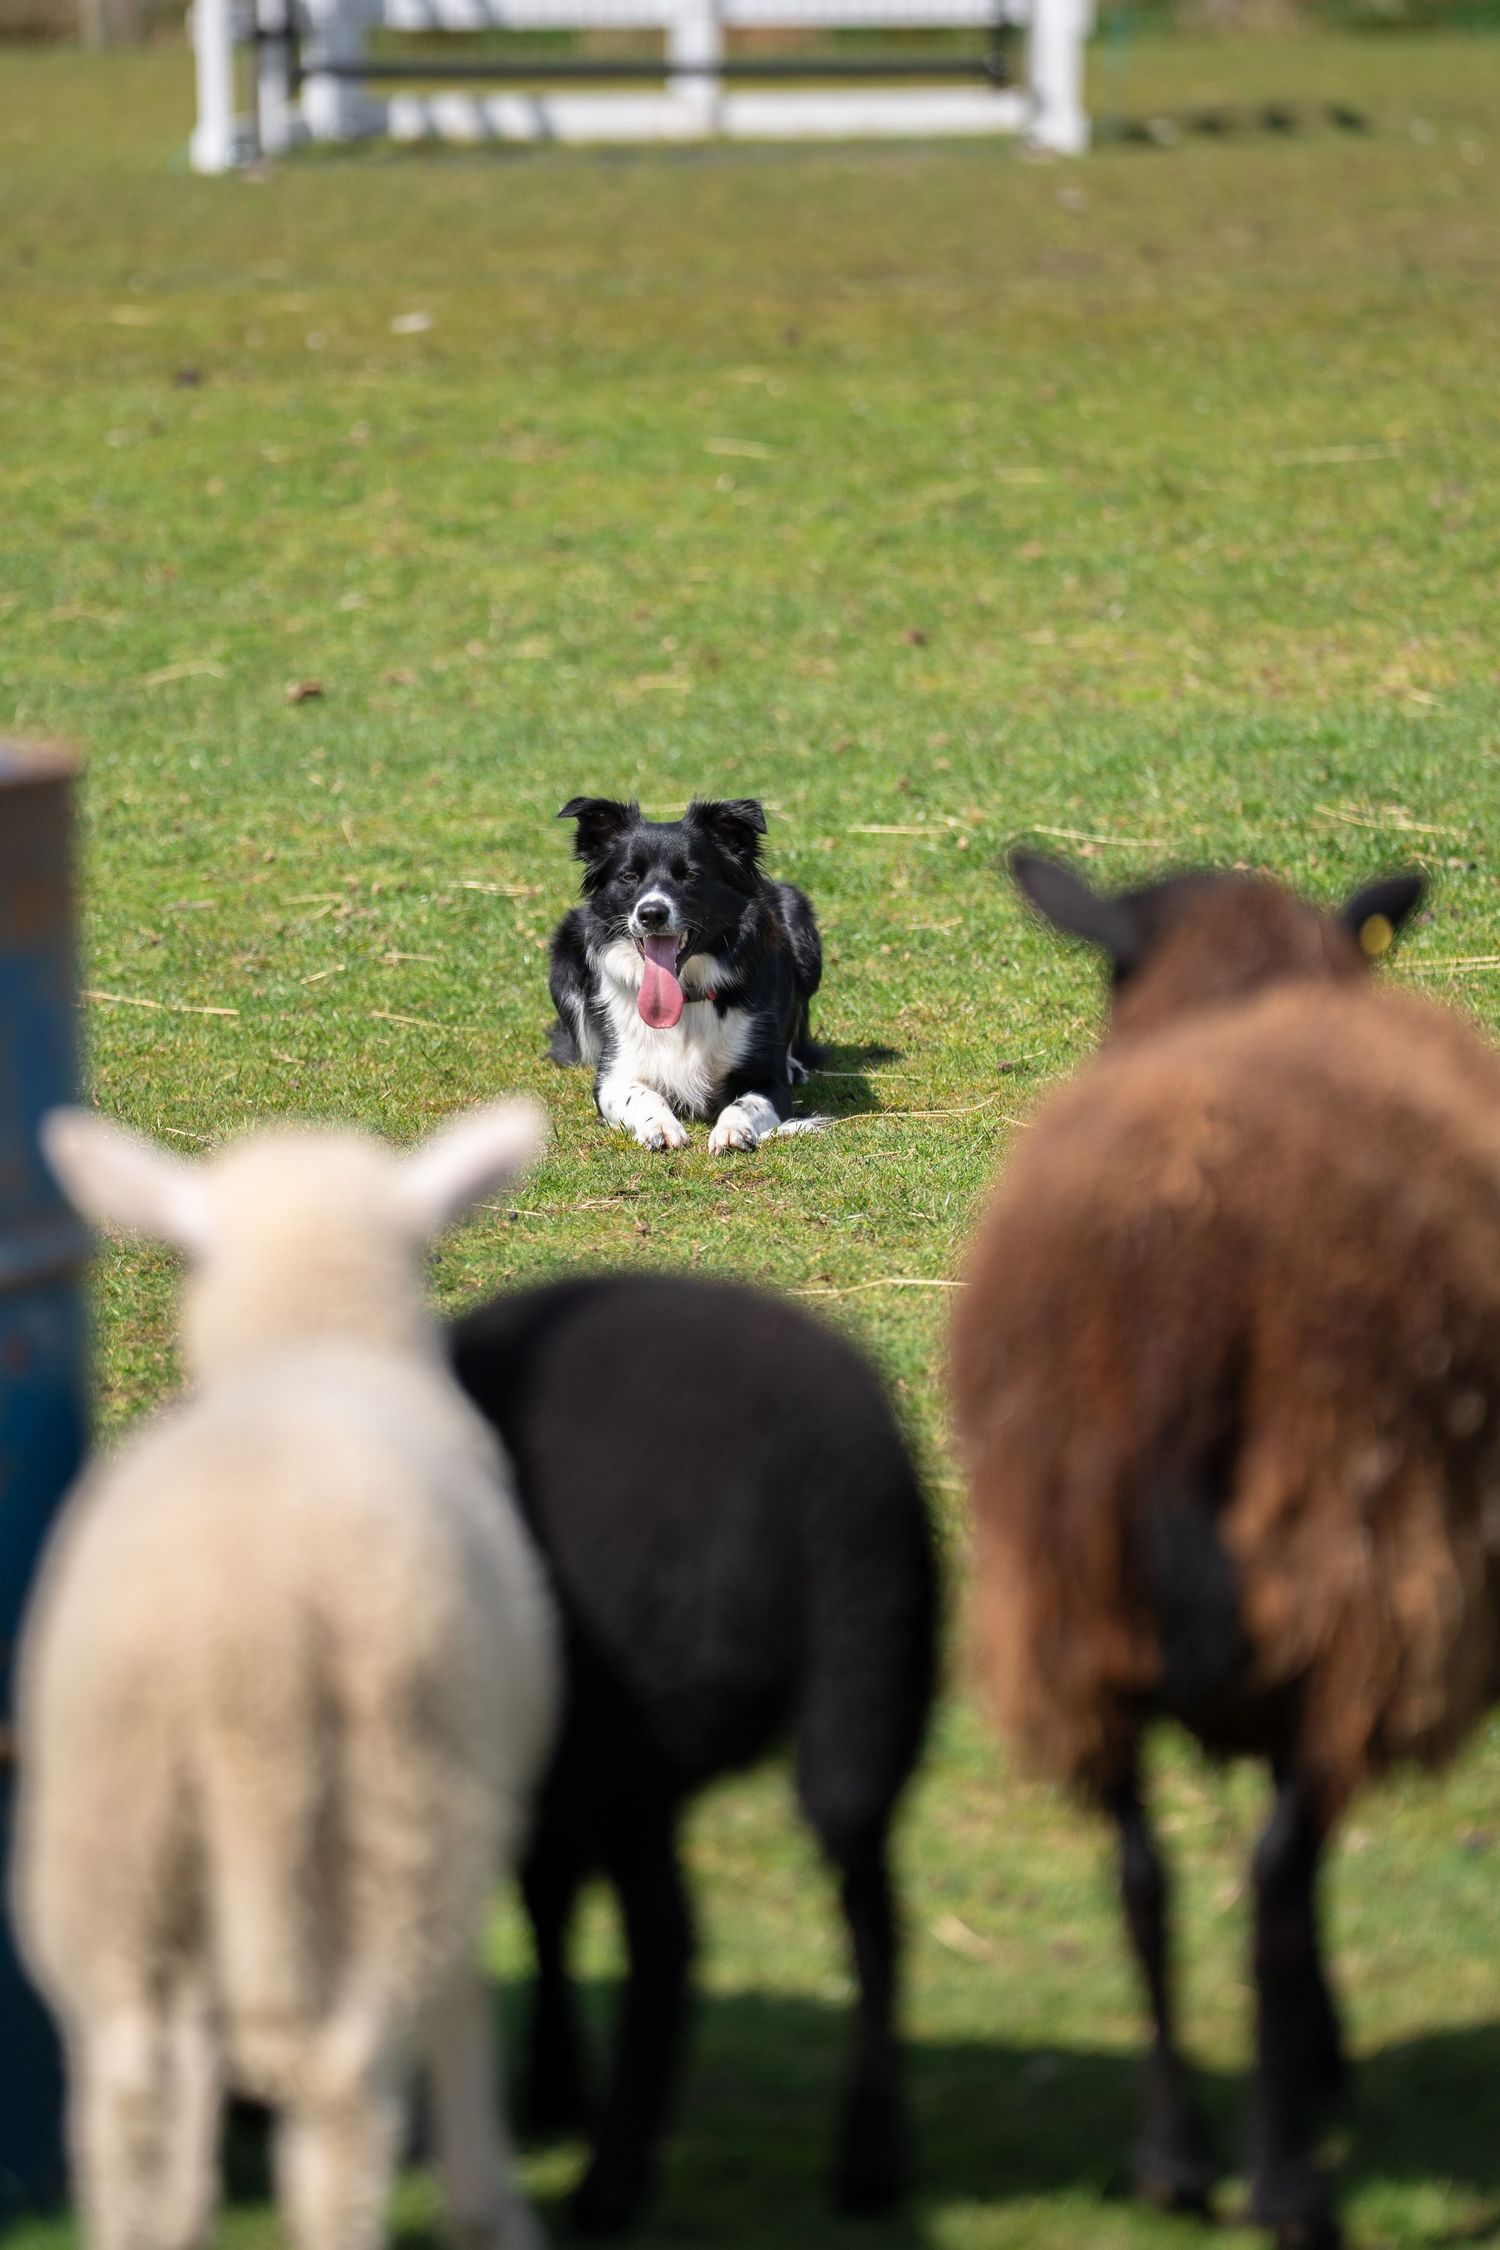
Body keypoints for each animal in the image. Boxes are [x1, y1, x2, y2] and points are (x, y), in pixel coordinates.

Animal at [10, 1100, 560, 2250]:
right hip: (403, 1814)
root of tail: (241, 1659)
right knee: (349, 2088)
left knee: (130, 2078)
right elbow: (466, 2011)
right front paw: (489, 2204)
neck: (308, 1338)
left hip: (110, 1830)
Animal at [448, 1270, 939, 2235]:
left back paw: (612, 2186)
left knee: (667, 1940)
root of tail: (823, 1477)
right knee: (870, 1901)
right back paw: (870, 2162)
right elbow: (546, 1889)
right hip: (867, 1684)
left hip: (642, 1732)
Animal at [950, 855, 1500, 2250]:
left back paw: (1173, 2162)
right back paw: (1288, 2178)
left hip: (1067, 1591)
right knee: (1277, 1885)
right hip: (1356, 1580)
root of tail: (1180, 1301)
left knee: (1140, 1871)